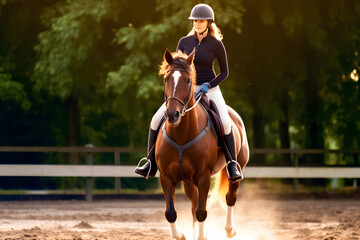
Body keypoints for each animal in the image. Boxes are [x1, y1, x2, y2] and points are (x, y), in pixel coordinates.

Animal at [156, 49, 249, 240]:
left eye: (187, 80)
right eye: (166, 79)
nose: (172, 115)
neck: (181, 135)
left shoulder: (203, 176)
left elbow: (201, 212)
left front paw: (200, 236)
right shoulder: (166, 176)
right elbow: (171, 213)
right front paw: (181, 235)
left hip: (237, 169)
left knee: (230, 197)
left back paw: (229, 230)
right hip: (188, 180)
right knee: (194, 203)